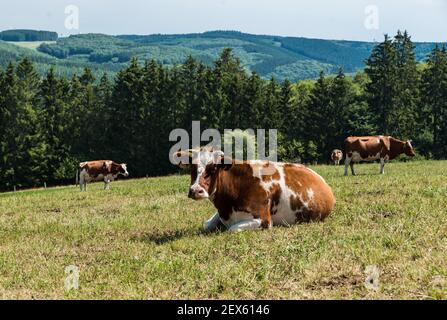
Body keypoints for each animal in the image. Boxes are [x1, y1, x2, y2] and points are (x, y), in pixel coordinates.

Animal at [175, 148, 336, 232]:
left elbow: (232, 229)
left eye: (213, 168)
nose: (195, 190)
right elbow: (207, 224)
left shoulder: (264, 219)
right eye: (192, 167)